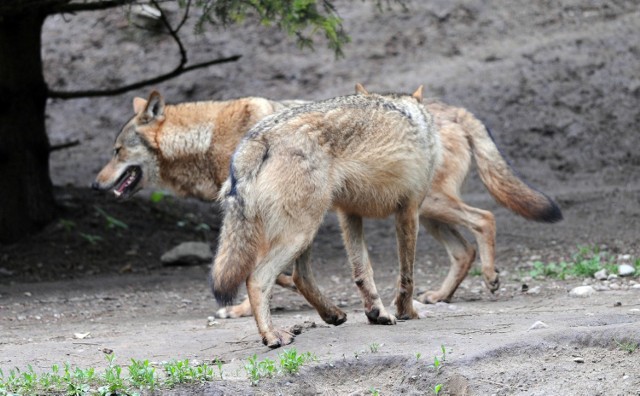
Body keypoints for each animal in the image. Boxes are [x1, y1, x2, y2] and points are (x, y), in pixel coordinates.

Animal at [210, 87, 440, 346]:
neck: (417, 117)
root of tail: (258, 138)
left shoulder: (349, 213)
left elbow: (363, 272)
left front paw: (377, 313)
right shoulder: (409, 211)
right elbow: (407, 275)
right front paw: (407, 312)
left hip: (306, 230)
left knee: (300, 276)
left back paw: (332, 314)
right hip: (302, 231)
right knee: (257, 279)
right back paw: (272, 335)